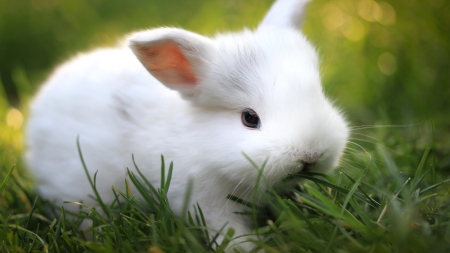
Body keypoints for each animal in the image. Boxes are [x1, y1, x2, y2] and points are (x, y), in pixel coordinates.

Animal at [25, 0, 348, 250]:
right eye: (249, 118)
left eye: (319, 94)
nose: (311, 154)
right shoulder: (205, 202)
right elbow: (229, 232)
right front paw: (248, 248)